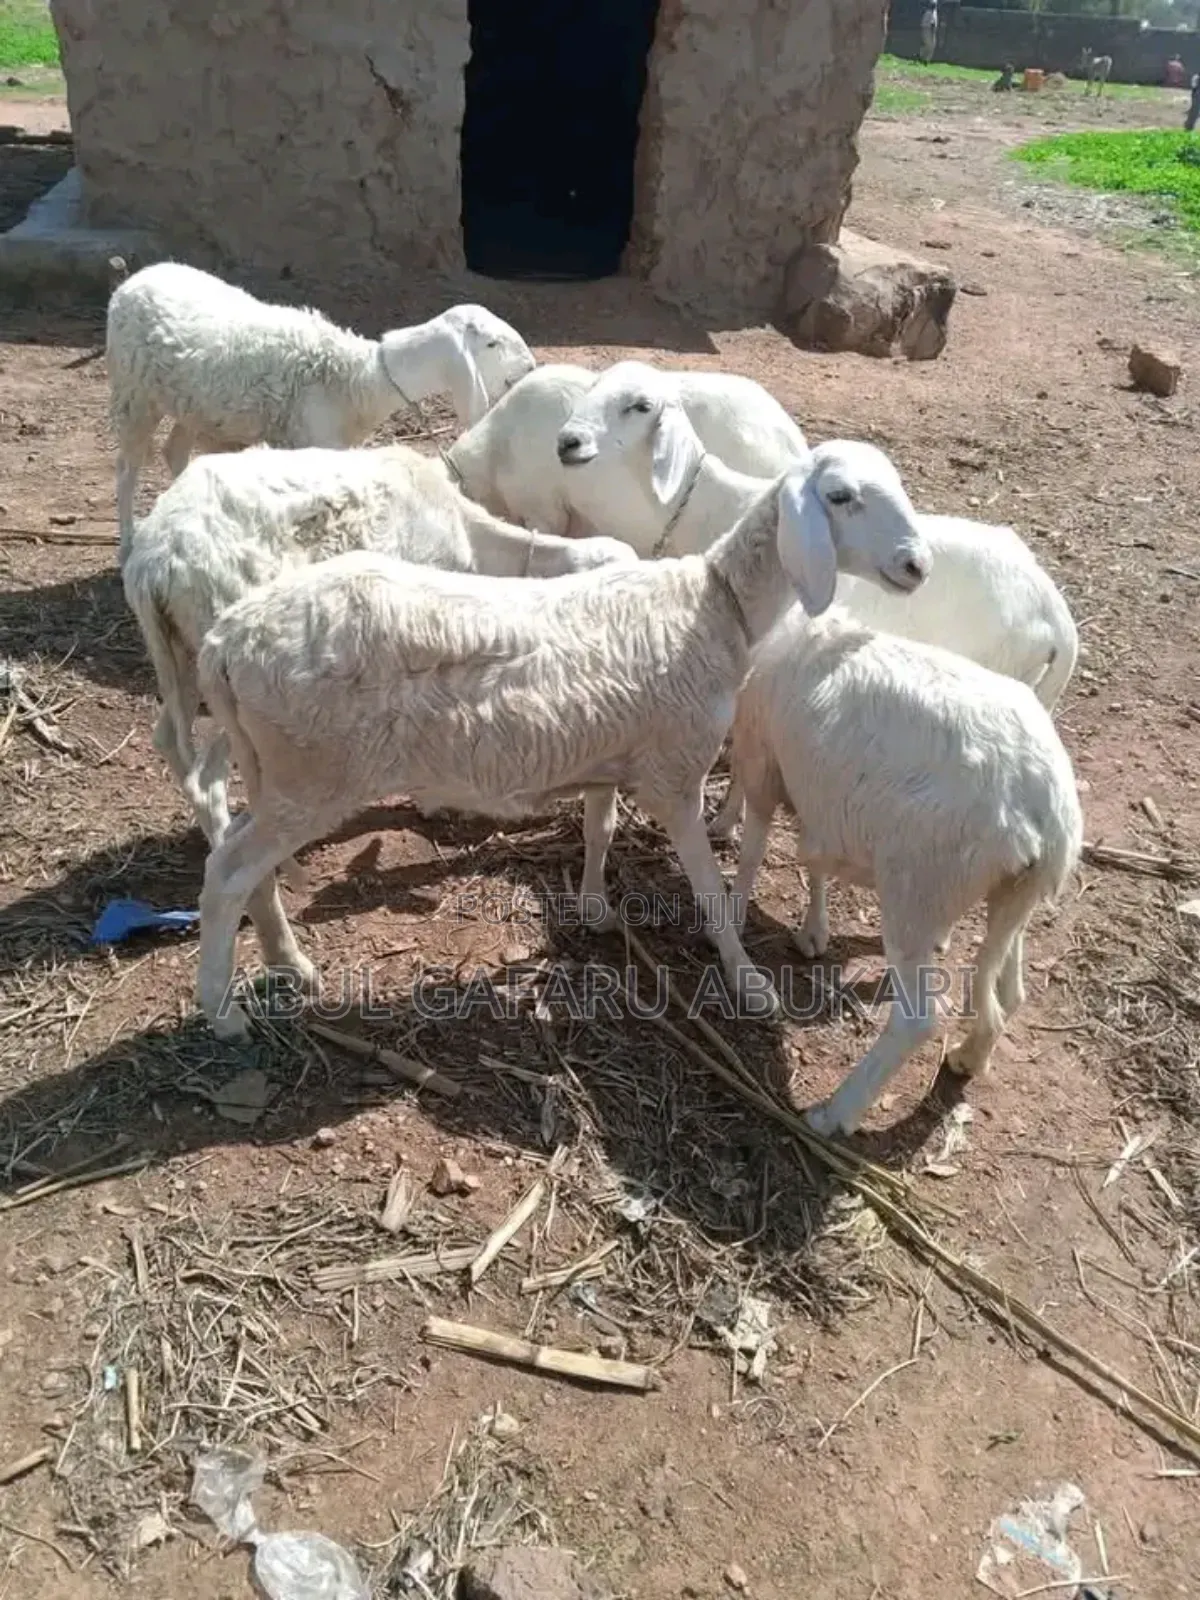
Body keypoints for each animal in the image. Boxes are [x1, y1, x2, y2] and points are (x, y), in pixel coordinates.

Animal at [107, 261, 536, 555]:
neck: (358, 379)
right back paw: (128, 541)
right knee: (127, 470)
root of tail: (135, 279)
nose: (531, 366)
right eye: (492, 344)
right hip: (132, 394)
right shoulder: (312, 439)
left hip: (192, 404)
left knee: (174, 451)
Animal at [185, 443, 932, 1040]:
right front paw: (747, 982)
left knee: (244, 861)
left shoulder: (611, 751)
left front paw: (596, 907)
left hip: (277, 770)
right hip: (314, 771)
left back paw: (287, 961)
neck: (717, 604)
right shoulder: (676, 772)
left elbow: (600, 828)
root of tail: (226, 639)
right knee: (225, 874)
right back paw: (223, 1014)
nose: (917, 565)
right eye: (840, 497)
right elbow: (710, 890)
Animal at [725, 608, 1083, 1136]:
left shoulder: (761, 762)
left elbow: (754, 851)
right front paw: (813, 931)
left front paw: (731, 917)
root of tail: (1047, 812)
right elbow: (814, 863)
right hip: (1015, 894)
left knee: (918, 1019)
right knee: (1006, 990)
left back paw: (835, 1113)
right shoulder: (822, 801)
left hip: (918, 888)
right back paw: (969, 1057)